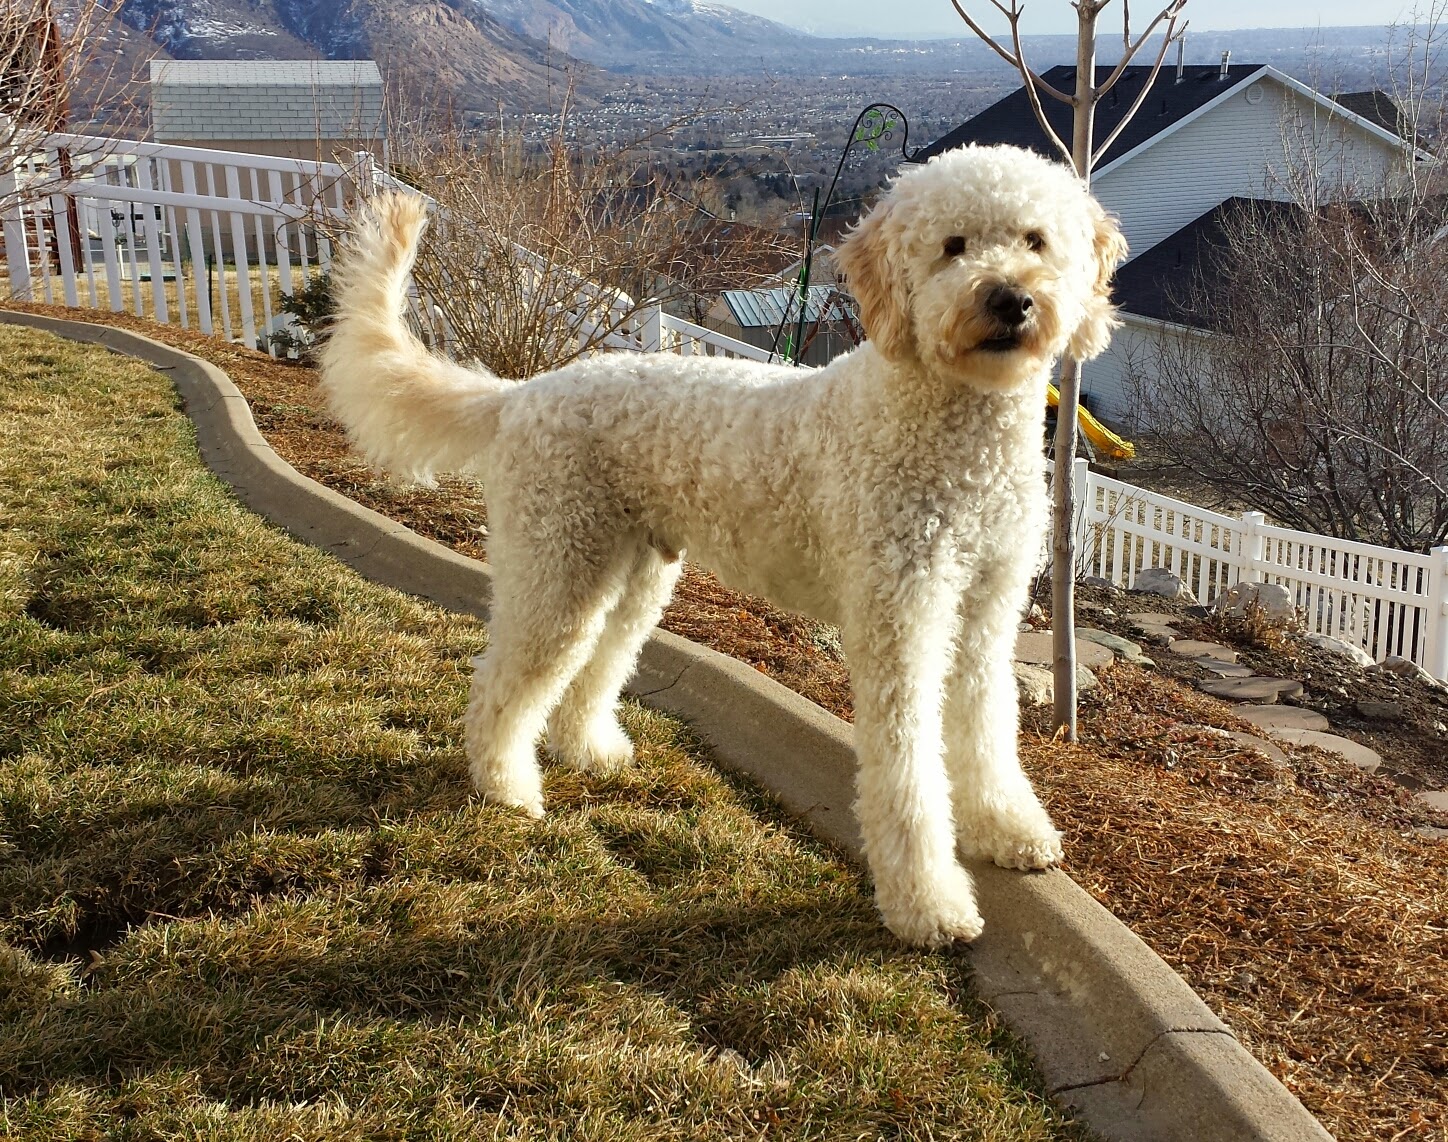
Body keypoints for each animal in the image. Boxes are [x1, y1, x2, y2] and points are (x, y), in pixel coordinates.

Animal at [319, 144, 1127, 947]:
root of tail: (523, 393)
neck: (945, 428)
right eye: (953, 247)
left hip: (632, 573)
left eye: (1034, 241)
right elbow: (906, 767)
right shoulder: (901, 622)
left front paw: (1009, 830)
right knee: (502, 684)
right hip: (558, 563)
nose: (1010, 300)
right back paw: (508, 789)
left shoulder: (984, 614)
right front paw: (928, 903)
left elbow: (988, 726)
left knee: (597, 666)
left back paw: (589, 751)